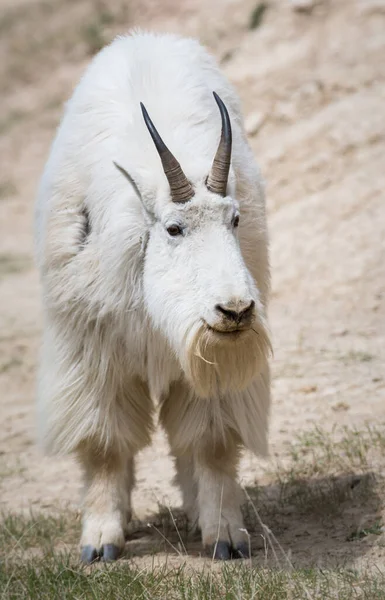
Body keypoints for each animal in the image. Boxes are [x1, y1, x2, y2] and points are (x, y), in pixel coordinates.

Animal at [34, 29, 272, 564]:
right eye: (174, 228)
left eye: (235, 219)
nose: (235, 311)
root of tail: (145, 38)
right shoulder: (95, 354)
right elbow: (104, 445)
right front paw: (101, 542)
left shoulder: (210, 358)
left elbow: (210, 442)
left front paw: (225, 535)